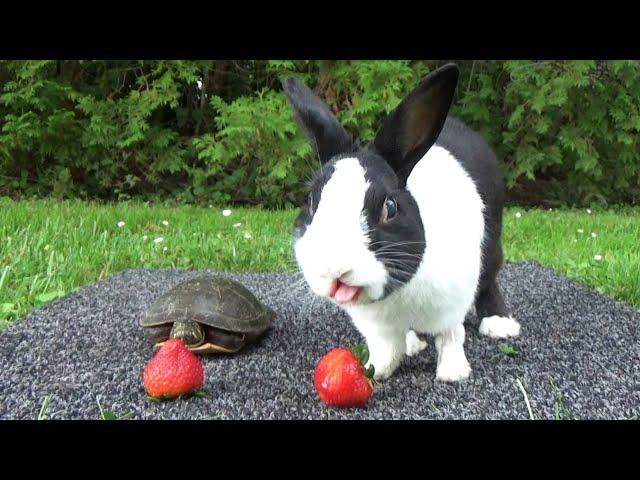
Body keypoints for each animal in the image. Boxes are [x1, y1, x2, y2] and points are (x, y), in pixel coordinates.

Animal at [284, 62, 520, 382]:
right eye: (311, 202)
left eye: (390, 208)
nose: (335, 269)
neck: (399, 292)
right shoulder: (376, 327)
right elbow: (386, 348)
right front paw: (374, 370)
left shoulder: (453, 302)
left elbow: (451, 335)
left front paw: (453, 372)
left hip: (492, 242)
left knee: (490, 279)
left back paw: (499, 324)